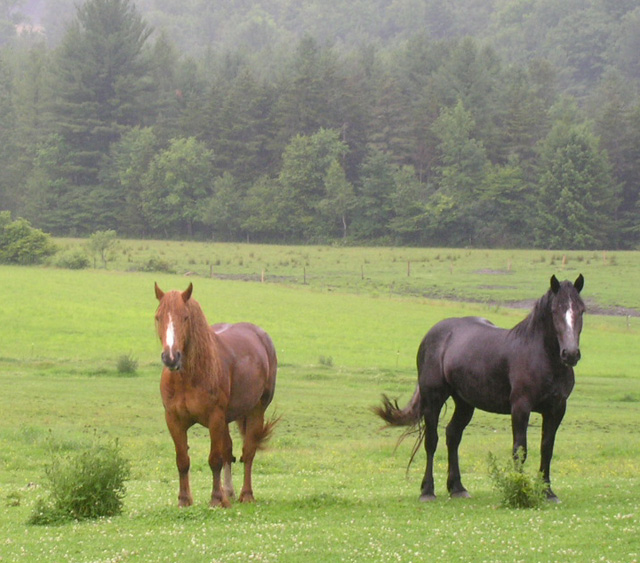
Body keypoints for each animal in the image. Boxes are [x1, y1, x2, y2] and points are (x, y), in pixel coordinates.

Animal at [154, 284, 278, 508]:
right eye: (158, 317)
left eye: (185, 317)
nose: (170, 357)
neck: (188, 377)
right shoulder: (173, 420)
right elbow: (182, 460)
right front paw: (184, 499)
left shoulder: (215, 418)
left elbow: (215, 459)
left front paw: (215, 499)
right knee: (229, 450)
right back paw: (228, 492)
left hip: (256, 411)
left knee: (248, 452)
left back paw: (246, 494)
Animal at [376, 274, 584, 502]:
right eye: (555, 311)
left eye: (581, 310)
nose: (570, 354)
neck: (541, 356)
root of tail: (433, 334)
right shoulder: (521, 407)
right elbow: (520, 449)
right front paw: (519, 489)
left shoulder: (556, 409)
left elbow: (547, 448)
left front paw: (547, 492)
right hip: (433, 399)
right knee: (432, 440)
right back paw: (428, 491)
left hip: (464, 402)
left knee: (452, 435)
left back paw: (457, 488)